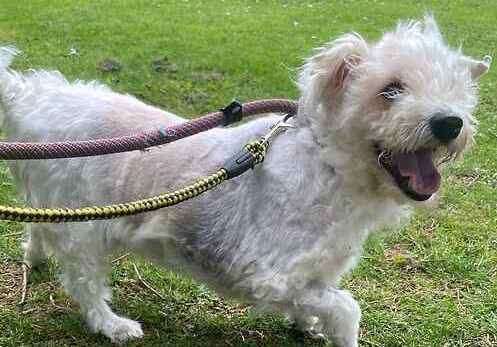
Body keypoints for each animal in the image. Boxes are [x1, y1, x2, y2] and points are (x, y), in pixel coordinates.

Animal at [0, 16, 490, 347]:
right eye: (390, 91)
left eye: (457, 92)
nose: (450, 123)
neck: (328, 166)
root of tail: (32, 94)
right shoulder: (269, 273)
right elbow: (346, 307)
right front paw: (335, 331)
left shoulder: (315, 273)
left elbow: (321, 302)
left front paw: (306, 325)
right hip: (83, 231)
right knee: (83, 283)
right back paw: (113, 325)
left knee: (38, 230)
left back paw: (35, 260)